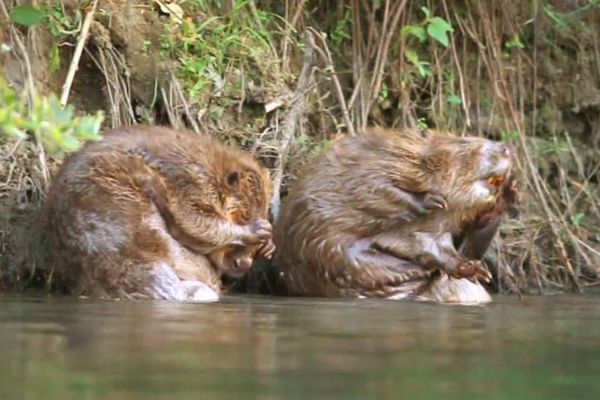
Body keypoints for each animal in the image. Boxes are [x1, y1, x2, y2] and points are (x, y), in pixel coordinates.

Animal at [34, 125, 274, 300]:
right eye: (243, 214)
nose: (243, 263)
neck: (211, 166)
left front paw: (268, 246)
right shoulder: (189, 182)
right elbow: (193, 222)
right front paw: (259, 230)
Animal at [274, 126, 516, 304]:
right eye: (464, 141)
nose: (507, 148)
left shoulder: (435, 227)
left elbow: (438, 247)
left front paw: (475, 269)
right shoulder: (375, 163)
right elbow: (377, 187)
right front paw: (431, 200)